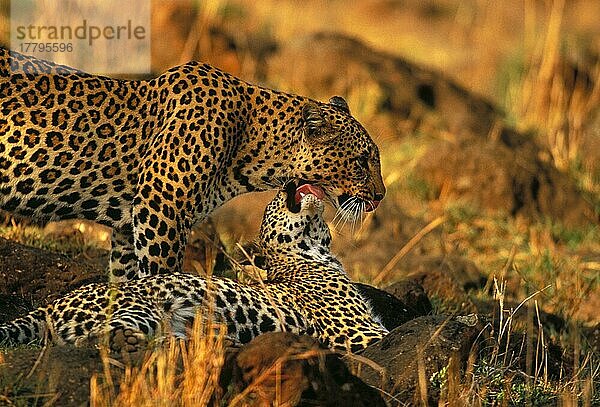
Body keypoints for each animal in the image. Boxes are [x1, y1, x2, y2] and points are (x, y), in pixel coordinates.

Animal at [0, 47, 384, 282]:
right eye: (362, 161)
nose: (381, 195)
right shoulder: (160, 209)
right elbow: (161, 276)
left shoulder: (128, 226)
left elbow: (124, 280)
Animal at [0, 184, 386, 354]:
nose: (290, 183)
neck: (310, 252)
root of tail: (52, 303)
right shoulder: (358, 332)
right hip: (140, 309)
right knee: (100, 338)